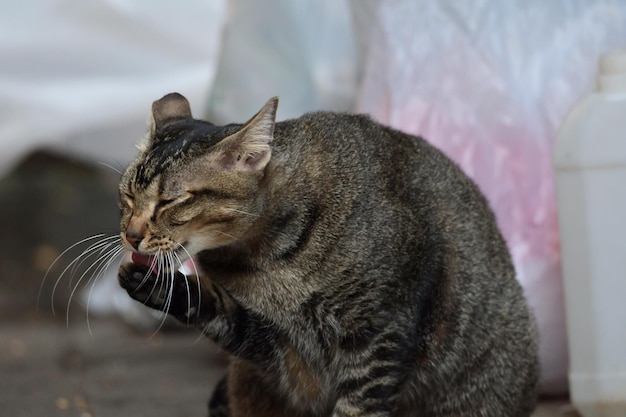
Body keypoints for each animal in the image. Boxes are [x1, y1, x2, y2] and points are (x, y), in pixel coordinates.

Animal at [116, 92, 536, 414]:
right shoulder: (283, 355)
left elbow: (358, 407)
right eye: (128, 196)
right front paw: (155, 285)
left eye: (170, 201)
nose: (131, 235)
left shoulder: (379, 333)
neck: (259, 262)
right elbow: (216, 308)